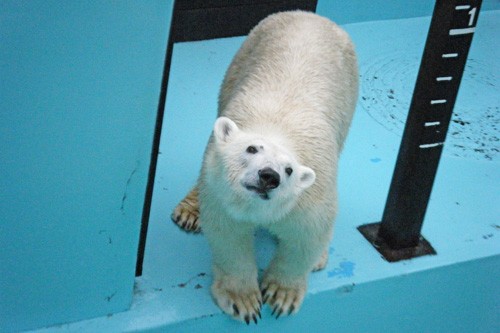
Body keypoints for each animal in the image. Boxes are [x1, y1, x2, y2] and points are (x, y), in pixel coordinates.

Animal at [170, 11, 358, 322]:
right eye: (251, 148)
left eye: (289, 170)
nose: (269, 176)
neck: (278, 127)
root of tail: (312, 15)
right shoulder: (221, 194)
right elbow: (229, 235)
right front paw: (243, 301)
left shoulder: (312, 195)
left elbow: (306, 238)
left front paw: (281, 295)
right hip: (241, 59)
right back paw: (189, 211)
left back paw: (320, 257)